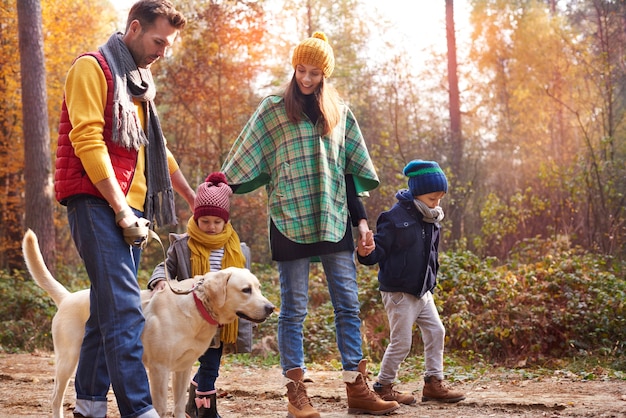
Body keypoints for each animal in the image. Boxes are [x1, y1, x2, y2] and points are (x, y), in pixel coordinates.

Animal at [23, 229, 272, 418]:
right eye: (246, 290)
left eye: (258, 288)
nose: (271, 308)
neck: (196, 305)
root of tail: (67, 297)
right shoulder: (159, 369)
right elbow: (161, 407)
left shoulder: (182, 368)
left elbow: (179, 406)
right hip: (67, 359)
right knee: (55, 398)